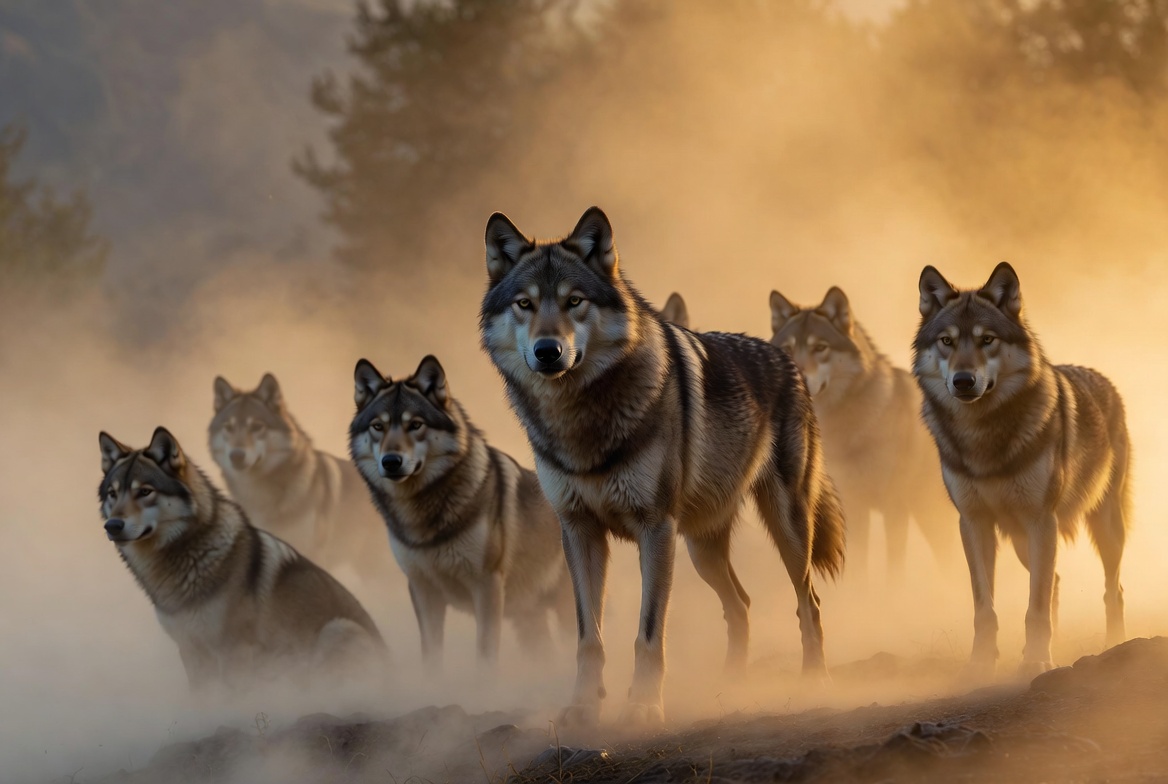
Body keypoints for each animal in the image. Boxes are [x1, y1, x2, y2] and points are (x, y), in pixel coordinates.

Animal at [98, 427, 387, 693]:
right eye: (113, 493)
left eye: (145, 491)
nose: (112, 526)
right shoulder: (190, 651)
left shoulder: (233, 651)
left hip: (337, 631)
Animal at [348, 354, 573, 668]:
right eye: (377, 426)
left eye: (415, 424)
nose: (391, 461)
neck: (423, 514)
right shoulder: (422, 590)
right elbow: (431, 657)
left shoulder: (487, 587)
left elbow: (485, 657)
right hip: (530, 620)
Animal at [479, 206, 845, 726]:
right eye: (525, 304)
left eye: (574, 301)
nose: (548, 351)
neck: (580, 421)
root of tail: (784, 354)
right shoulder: (579, 531)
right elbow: (589, 639)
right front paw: (582, 708)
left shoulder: (655, 528)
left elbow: (648, 635)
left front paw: (643, 708)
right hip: (700, 548)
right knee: (742, 605)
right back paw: (731, 685)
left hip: (785, 529)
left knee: (808, 602)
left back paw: (815, 683)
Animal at [770, 286, 959, 584]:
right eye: (787, 349)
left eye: (820, 348)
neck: (849, 426)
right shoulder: (855, 506)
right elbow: (858, 566)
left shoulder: (894, 506)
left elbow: (895, 568)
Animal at [914, 262, 1129, 676]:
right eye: (947, 341)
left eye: (987, 340)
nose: (963, 381)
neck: (982, 435)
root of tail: (1103, 379)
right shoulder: (974, 522)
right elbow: (986, 607)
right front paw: (981, 664)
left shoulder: (1040, 520)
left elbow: (1036, 607)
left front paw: (1035, 662)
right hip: (1020, 541)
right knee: (1056, 581)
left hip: (1104, 528)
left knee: (1113, 590)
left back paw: (1115, 646)